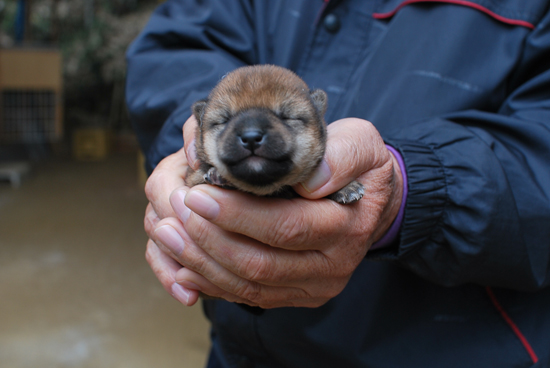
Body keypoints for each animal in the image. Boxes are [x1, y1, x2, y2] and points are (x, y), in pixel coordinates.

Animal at [187, 65, 366, 204]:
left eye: (286, 116)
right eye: (225, 120)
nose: (251, 137)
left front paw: (347, 187)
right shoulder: (192, 177)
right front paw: (218, 176)